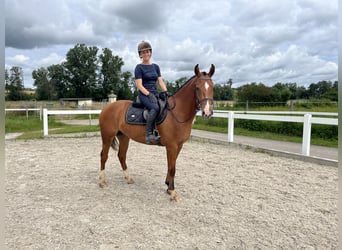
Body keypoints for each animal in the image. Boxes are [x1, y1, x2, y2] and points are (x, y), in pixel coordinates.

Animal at [99, 64, 215, 201]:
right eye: (197, 88)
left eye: (213, 87)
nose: (207, 112)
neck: (177, 112)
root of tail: (106, 108)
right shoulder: (171, 146)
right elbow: (172, 168)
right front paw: (173, 192)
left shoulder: (179, 146)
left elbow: (171, 166)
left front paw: (169, 187)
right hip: (107, 137)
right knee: (104, 156)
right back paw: (102, 181)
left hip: (124, 137)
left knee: (121, 156)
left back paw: (128, 178)